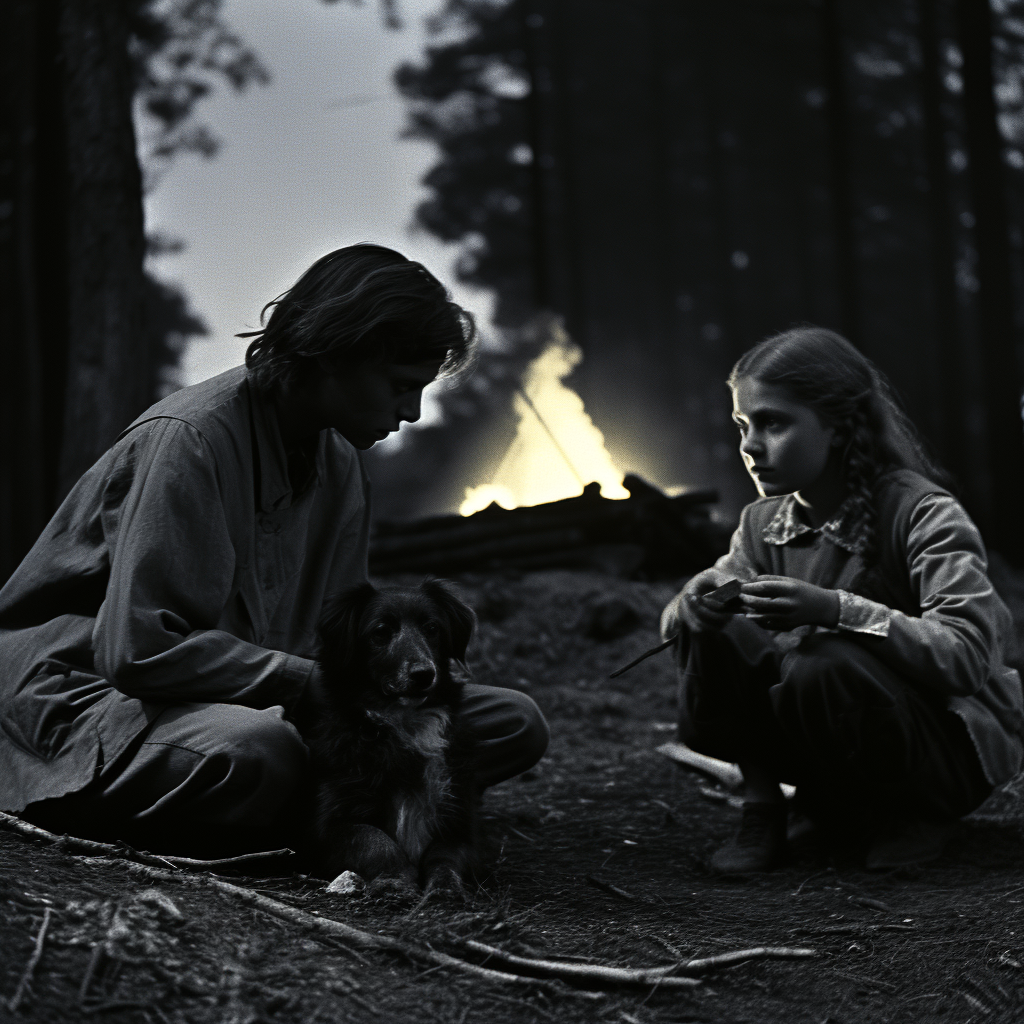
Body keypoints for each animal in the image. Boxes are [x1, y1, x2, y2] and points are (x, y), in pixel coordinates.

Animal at [299, 581, 481, 892]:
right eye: (381, 631)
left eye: (432, 628)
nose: (424, 674)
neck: (404, 722)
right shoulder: (328, 828)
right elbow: (376, 841)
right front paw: (396, 883)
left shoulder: (457, 823)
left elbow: (444, 858)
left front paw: (445, 890)